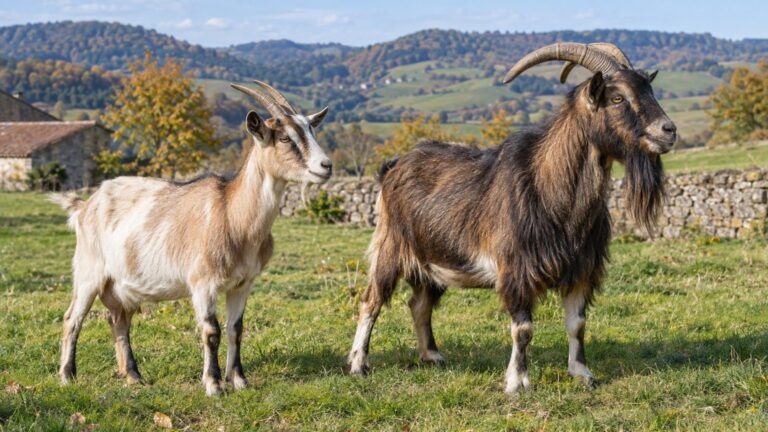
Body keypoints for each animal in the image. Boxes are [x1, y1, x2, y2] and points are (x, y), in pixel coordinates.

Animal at [52, 81, 332, 396]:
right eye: (284, 137)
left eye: (311, 130)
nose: (326, 166)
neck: (233, 215)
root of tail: (85, 205)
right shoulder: (202, 283)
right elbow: (212, 331)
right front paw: (213, 384)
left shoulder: (243, 283)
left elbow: (236, 329)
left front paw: (239, 380)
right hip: (89, 271)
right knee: (72, 318)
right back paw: (67, 375)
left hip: (121, 285)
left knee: (119, 320)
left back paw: (133, 376)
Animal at [348, 43, 675, 394]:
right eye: (617, 98)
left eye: (649, 89)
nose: (669, 130)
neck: (553, 191)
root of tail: (392, 167)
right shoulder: (517, 270)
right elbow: (523, 329)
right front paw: (517, 382)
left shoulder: (581, 270)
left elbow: (577, 324)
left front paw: (583, 374)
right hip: (390, 247)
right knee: (371, 302)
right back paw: (358, 364)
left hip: (433, 259)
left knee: (419, 304)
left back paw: (432, 356)